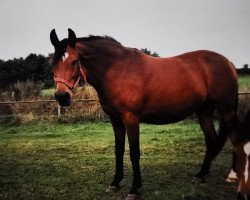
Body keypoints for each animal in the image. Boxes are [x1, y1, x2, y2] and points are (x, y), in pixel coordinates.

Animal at [49, 28, 238, 200]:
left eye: (74, 61)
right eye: (53, 62)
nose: (62, 96)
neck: (117, 69)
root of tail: (228, 62)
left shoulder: (131, 119)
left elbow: (134, 153)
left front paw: (134, 190)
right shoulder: (115, 120)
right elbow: (119, 150)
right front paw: (115, 184)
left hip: (226, 109)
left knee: (234, 138)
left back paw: (233, 175)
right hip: (204, 111)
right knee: (211, 141)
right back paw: (201, 175)